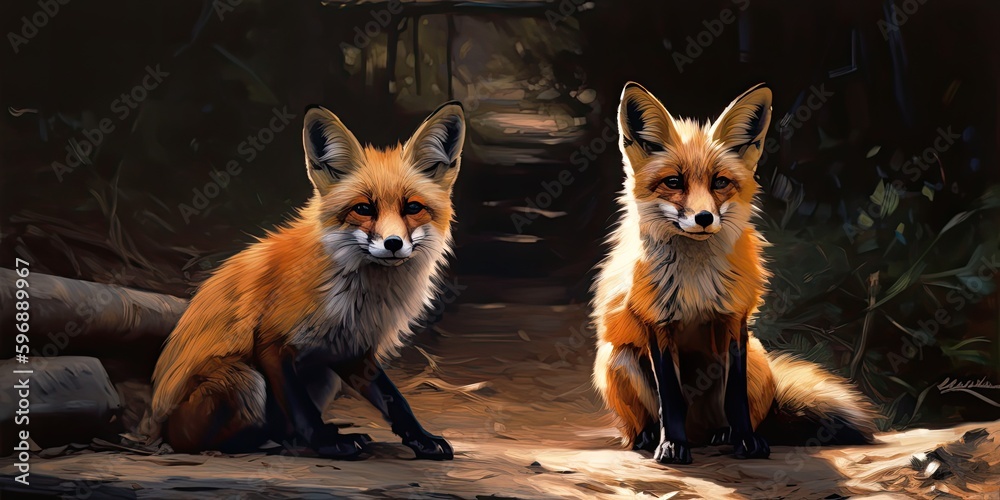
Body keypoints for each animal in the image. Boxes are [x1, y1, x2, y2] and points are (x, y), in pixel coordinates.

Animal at [144, 102, 466, 460]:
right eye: (363, 208)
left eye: (412, 207)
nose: (393, 244)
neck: (357, 297)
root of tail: (156, 430)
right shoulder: (272, 340)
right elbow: (302, 409)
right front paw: (328, 442)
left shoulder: (352, 350)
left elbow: (395, 400)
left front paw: (422, 438)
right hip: (244, 381)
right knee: (222, 439)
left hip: (322, 375)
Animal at [591, 82, 880, 464]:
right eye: (673, 182)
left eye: (720, 182)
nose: (703, 218)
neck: (695, 280)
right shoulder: (658, 323)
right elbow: (670, 399)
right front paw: (672, 445)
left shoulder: (734, 320)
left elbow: (736, 397)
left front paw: (746, 441)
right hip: (618, 358)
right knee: (644, 419)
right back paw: (649, 436)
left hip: (757, 358)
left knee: (738, 414)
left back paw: (724, 434)